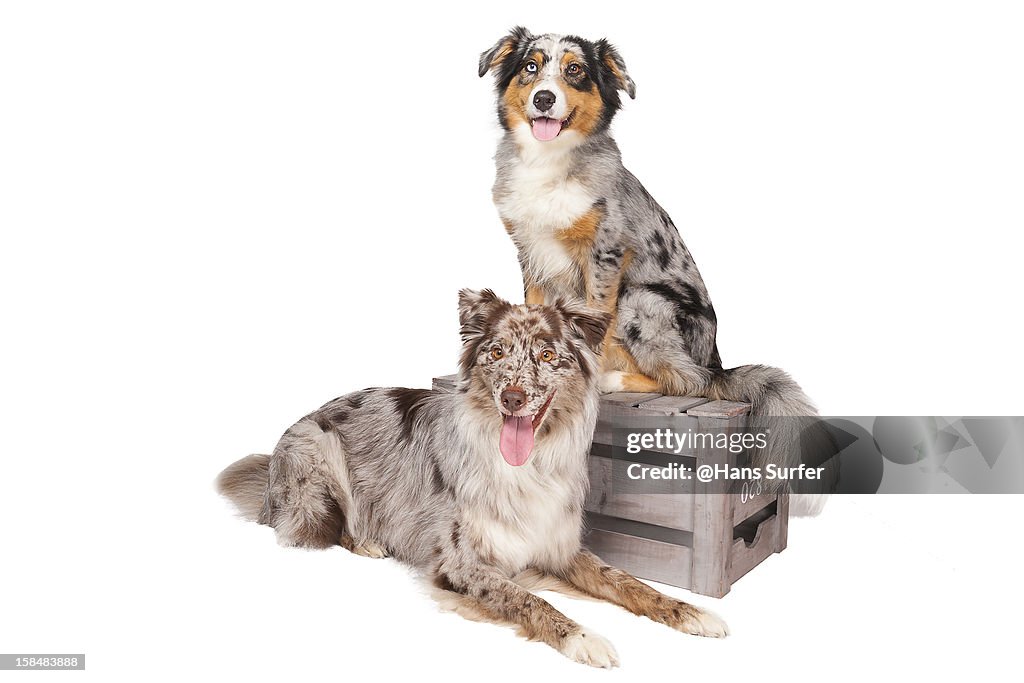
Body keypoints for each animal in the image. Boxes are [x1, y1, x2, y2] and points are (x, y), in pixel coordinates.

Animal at [217, 290, 729, 671]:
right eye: (496, 352)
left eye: (547, 354)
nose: (513, 397)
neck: (526, 468)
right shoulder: (462, 565)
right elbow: (527, 599)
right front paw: (584, 637)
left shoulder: (559, 546)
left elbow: (626, 581)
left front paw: (690, 612)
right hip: (316, 455)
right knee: (322, 528)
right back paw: (367, 541)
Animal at [479, 29, 831, 516]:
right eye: (530, 67)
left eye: (575, 70)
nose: (544, 98)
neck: (548, 162)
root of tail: (716, 361)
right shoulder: (530, 253)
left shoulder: (606, 254)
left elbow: (597, 327)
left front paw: (588, 377)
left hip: (641, 299)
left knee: (689, 380)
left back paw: (615, 379)